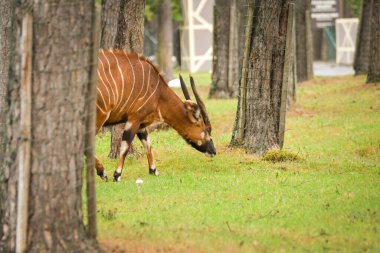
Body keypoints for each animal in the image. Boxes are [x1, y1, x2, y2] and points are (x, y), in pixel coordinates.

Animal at [95, 49, 217, 181]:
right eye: (204, 129)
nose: (213, 151)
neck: (158, 92)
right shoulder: (134, 118)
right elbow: (125, 146)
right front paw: (117, 175)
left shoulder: (141, 124)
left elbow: (148, 144)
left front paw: (153, 171)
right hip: (100, 116)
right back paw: (102, 172)